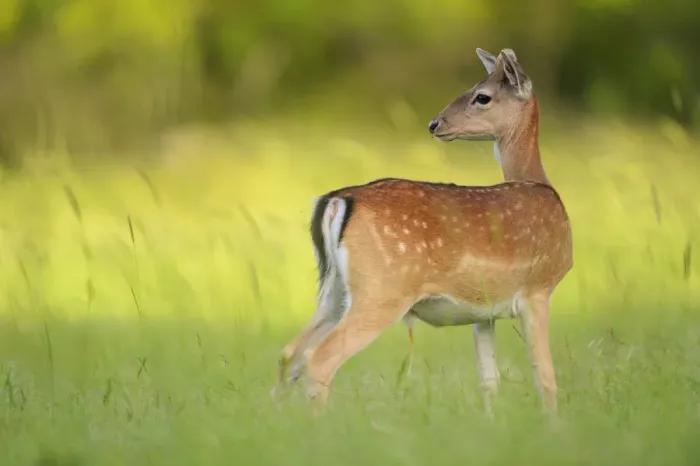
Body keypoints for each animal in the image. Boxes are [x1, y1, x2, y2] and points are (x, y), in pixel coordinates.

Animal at [273, 47, 573, 415]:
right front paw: (555, 425)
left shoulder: (483, 311)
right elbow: (546, 378)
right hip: (383, 290)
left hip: (334, 290)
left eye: (481, 96)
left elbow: (489, 381)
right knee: (320, 358)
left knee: (290, 354)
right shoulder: (538, 289)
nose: (435, 124)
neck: (541, 185)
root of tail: (337, 200)